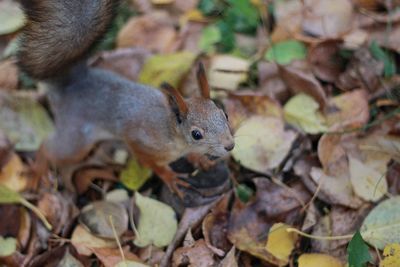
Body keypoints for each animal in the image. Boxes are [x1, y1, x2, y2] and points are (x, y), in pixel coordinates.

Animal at [18, 0, 234, 197]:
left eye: (225, 114)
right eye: (196, 134)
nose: (230, 145)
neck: (170, 130)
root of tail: (71, 85)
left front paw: (199, 159)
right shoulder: (140, 142)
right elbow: (150, 163)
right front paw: (170, 176)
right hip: (75, 140)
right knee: (49, 147)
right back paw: (37, 170)